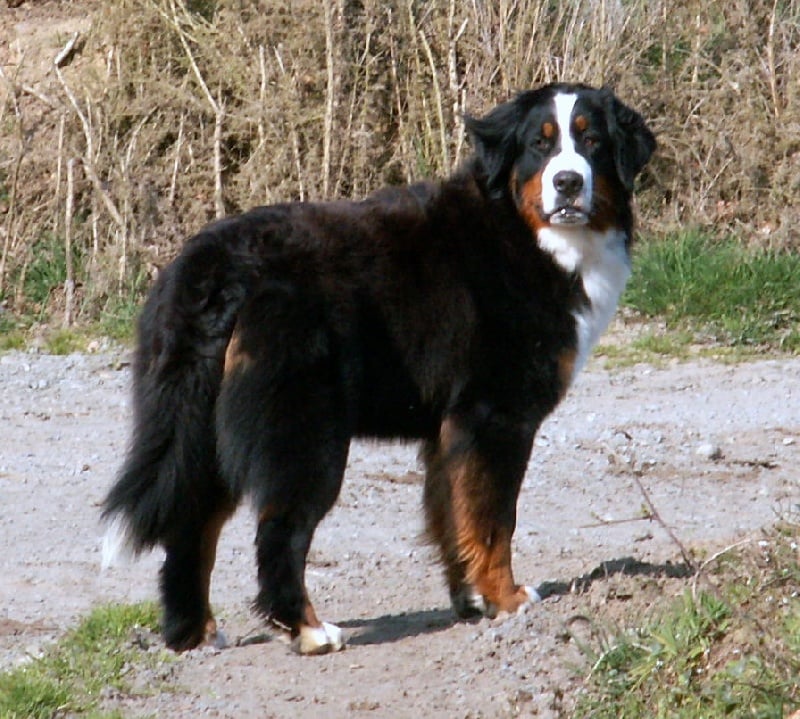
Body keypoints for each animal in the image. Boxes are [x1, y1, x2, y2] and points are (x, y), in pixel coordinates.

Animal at [102, 82, 655, 655]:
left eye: (592, 141)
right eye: (539, 146)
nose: (568, 181)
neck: (523, 236)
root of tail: (216, 264)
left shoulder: (450, 429)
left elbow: (453, 514)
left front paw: (471, 600)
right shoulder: (495, 418)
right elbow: (493, 520)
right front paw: (506, 598)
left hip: (201, 431)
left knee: (191, 527)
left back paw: (192, 632)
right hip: (306, 433)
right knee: (280, 530)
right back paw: (309, 629)